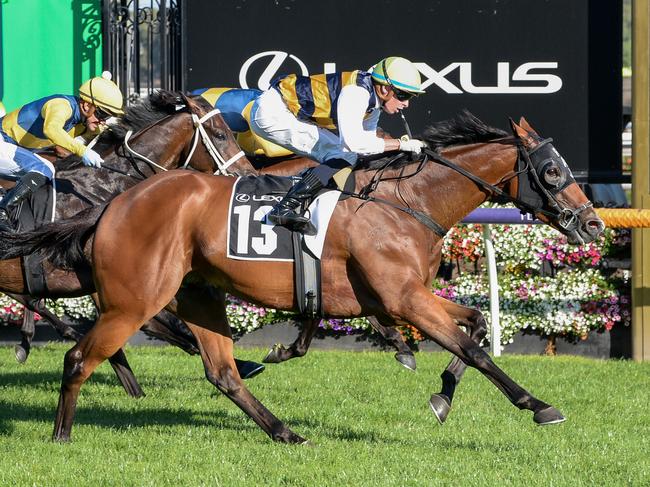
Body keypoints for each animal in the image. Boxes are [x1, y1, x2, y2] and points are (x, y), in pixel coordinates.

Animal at [1, 113, 604, 442]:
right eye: (552, 171)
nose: (594, 223)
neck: (408, 201)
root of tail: (115, 204)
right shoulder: (403, 298)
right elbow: (473, 348)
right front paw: (537, 405)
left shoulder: (404, 296)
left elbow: (475, 324)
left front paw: (441, 397)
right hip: (136, 298)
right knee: (81, 356)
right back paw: (61, 435)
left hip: (195, 294)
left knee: (222, 372)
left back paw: (285, 432)